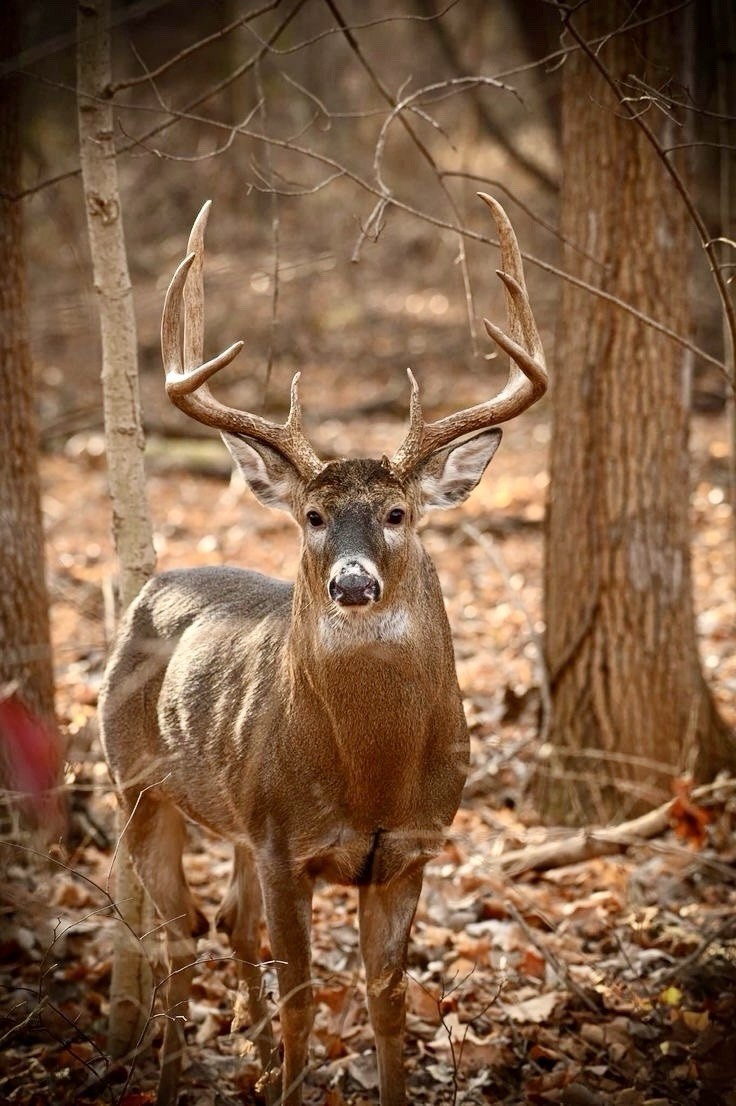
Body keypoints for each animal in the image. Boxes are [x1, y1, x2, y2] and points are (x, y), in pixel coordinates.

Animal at [98, 193, 547, 1106]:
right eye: (311, 515)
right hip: (137, 785)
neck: (372, 775)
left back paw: (246, 1049)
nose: (352, 583)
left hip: (229, 809)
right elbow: (304, 996)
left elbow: (387, 1003)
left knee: (226, 924)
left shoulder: (409, 851)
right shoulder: (285, 845)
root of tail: (151, 588)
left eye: (398, 513)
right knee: (179, 934)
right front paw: (289, 1078)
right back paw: (173, 1072)